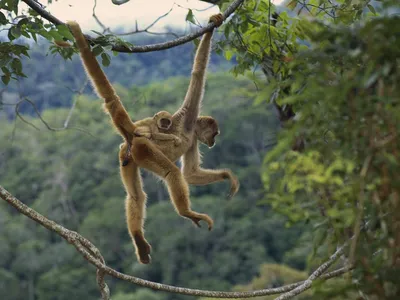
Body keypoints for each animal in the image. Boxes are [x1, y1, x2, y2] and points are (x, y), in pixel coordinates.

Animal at [67, 13, 239, 262]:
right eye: (215, 133)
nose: (214, 142)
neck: (190, 131)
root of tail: (133, 134)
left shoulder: (192, 141)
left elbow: (191, 173)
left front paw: (227, 176)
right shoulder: (189, 115)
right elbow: (198, 72)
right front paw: (213, 24)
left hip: (127, 155)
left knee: (136, 196)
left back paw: (138, 238)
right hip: (144, 149)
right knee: (171, 173)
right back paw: (187, 212)